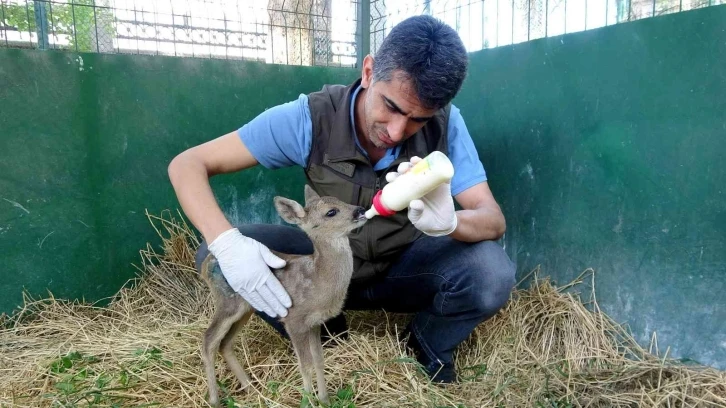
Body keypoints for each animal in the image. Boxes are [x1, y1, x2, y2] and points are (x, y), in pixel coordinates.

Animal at [198, 186, 366, 408]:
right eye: (331, 212)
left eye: (340, 200)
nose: (360, 210)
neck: (317, 279)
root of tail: (206, 264)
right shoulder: (294, 319)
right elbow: (305, 364)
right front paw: (306, 400)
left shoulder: (314, 322)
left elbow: (319, 360)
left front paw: (324, 400)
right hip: (227, 301)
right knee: (209, 340)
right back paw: (215, 400)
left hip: (248, 306)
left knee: (224, 343)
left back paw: (251, 389)